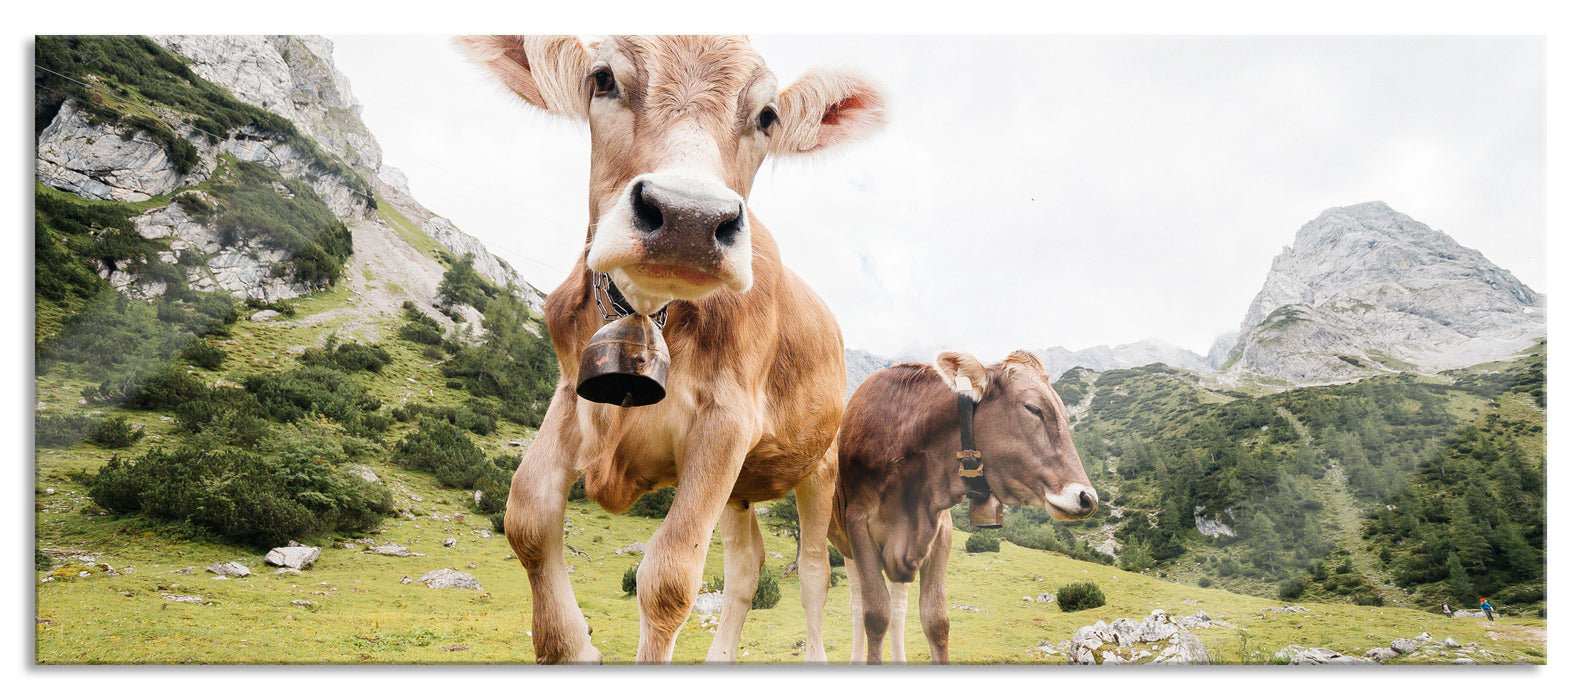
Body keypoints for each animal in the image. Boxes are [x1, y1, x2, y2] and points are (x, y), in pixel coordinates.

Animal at [452, 35, 885, 665]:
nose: (688, 218)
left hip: (818, 468)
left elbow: (670, 578)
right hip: (740, 489)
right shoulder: (573, 392)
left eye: (768, 115)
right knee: (747, 564)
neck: (648, 310)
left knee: (813, 571)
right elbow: (527, 517)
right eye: (602, 78)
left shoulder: (726, 420)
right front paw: (573, 646)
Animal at [828, 353, 1101, 665]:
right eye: (1034, 409)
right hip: (845, 547)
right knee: (856, 601)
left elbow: (935, 619)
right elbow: (875, 615)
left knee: (898, 604)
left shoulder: (940, 531)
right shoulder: (858, 524)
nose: (1088, 498)